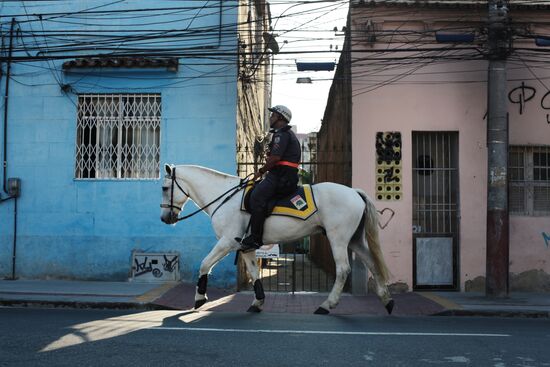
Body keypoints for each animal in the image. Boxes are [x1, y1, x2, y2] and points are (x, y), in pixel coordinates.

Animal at [160, 165, 396, 314]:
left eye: (164, 188)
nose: (165, 218)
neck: (225, 196)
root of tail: (355, 192)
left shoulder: (227, 241)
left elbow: (205, 264)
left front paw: (200, 298)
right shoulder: (246, 246)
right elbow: (254, 272)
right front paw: (257, 302)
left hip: (338, 239)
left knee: (343, 270)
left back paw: (326, 305)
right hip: (355, 240)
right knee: (372, 263)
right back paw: (387, 301)